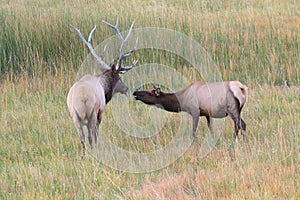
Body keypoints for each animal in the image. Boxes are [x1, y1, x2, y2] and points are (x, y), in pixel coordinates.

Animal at [67, 18, 138, 158]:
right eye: (119, 77)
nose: (126, 88)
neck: (104, 87)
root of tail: (81, 98)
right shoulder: (101, 110)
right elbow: (97, 132)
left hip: (74, 115)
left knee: (82, 137)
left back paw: (84, 156)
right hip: (92, 113)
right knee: (90, 135)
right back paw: (94, 150)